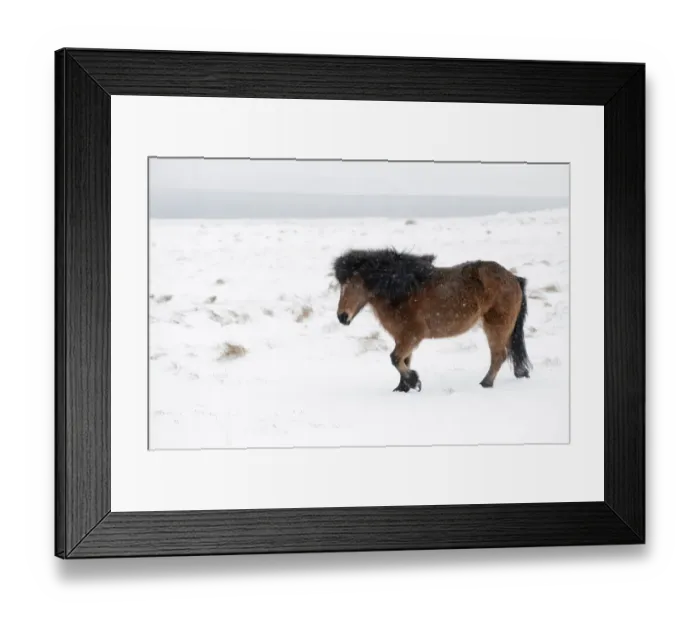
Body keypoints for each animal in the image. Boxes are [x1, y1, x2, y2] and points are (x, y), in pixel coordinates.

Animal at [333, 249, 532, 393]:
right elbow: (404, 360)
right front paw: (402, 388)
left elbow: (395, 358)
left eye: (354, 284)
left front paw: (414, 381)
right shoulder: (402, 337)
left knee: (499, 355)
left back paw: (485, 384)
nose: (342, 317)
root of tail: (514, 278)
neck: (401, 290)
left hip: (496, 326)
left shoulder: (412, 335)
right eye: (341, 285)